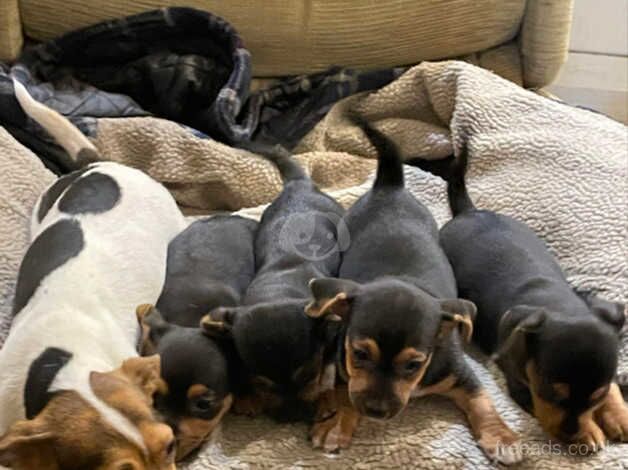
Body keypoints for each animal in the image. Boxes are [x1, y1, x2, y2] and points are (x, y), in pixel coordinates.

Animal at [201, 145, 346, 420]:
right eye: (261, 384)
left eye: (309, 376)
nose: (291, 417)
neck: (278, 291)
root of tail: (299, 184)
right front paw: (246, 396)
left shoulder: (331, 330)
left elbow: (329, 366)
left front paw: (324, 398)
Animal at [306, 119, 524, 464]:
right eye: (360, 355)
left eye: (413, 365)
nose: (377, 411)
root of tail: (390, 186)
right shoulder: (344, 366)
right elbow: (345, 393)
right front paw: (337, 424)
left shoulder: (459, 373)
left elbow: (481, 399)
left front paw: (501, 436)